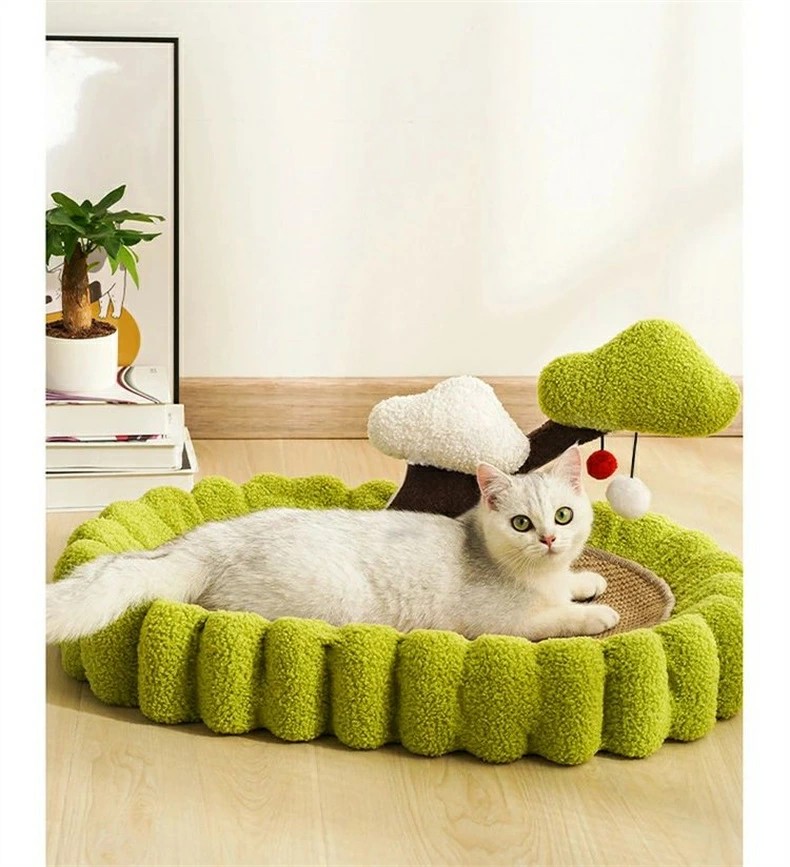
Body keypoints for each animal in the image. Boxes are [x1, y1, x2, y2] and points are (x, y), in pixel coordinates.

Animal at [46, 446, 619, 644]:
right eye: (522, 524)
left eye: (563, 516)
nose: (549, 538)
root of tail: (214, 539)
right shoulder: (505, 625)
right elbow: (557, 618)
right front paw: (598, 613)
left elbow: (569, 586)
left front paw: (586, 579)